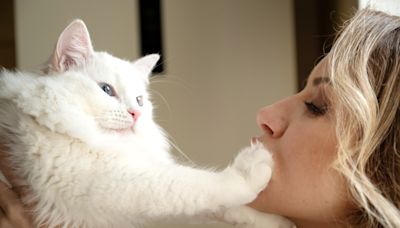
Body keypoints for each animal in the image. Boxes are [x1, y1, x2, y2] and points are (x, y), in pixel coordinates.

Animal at [0, 20, 292, 227]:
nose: (135, 114)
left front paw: (275, 221)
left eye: (140, 100)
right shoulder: (114, 183)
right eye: (106, 90)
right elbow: (201, 183)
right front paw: (252, 168)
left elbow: (223, 207)